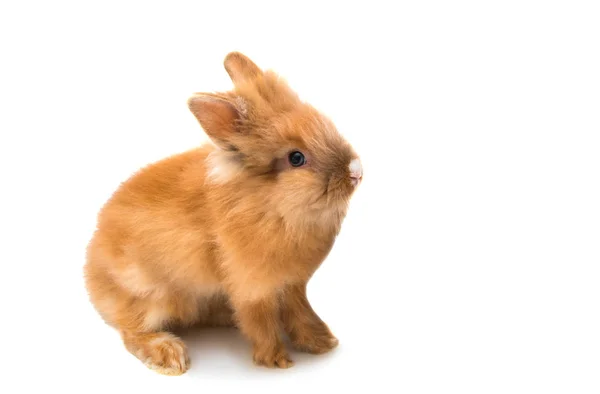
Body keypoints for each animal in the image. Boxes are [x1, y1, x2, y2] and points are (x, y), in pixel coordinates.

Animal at [82, 52, 364, 376]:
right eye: (296, 158)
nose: (356, 172)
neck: (268, 205)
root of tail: (92, 275)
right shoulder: (252, 287)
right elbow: (260, 321)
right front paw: (276, 360)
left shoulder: (293, 285)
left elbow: (301, 313)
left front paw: (322, 343)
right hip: (149, 295)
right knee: (132, 330)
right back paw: (169, 355)